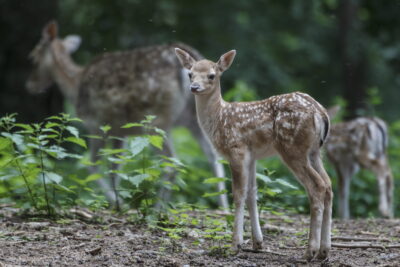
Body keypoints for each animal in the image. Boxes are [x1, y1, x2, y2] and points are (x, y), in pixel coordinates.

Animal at [25, 21, 228, 209]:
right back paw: (224, 208)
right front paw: (118, 200)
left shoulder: (96, 124)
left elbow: (93, 166)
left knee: (173, 162)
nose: (31, 85)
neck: (74, 86)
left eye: (33, 57)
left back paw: (157, 209)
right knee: (213, 157)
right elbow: (116, 166)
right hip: (193, 119)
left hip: (157, 120)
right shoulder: (120, 132)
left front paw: (118, 203)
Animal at [177, 48, 332, 262]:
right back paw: (324, 251)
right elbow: (252, 193)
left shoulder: (236, 149)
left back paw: (310, 251)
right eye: (190, 74)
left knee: (317, 187)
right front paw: (257, 243)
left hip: (293, 148)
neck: (219, 118)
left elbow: (238, 194)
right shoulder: (252, 156)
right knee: (328, 185)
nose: (194, 87)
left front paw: (235, 245)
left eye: (211, 75)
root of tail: (320, 113)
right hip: (315, 152)